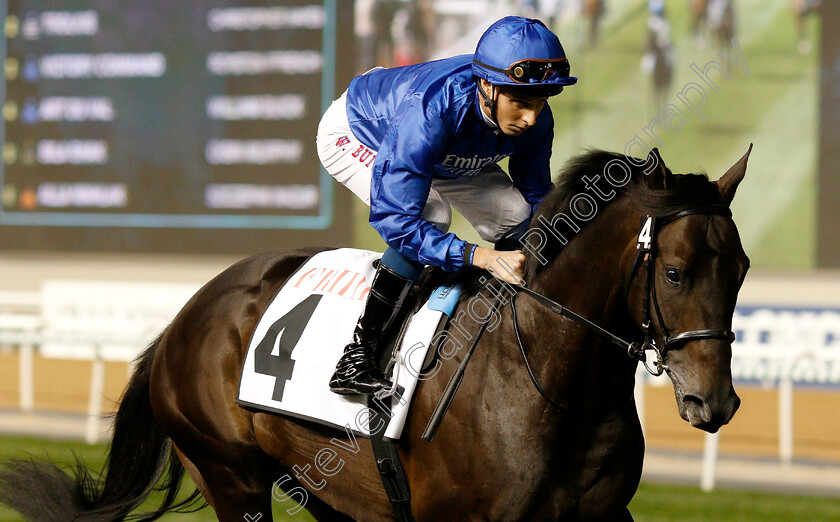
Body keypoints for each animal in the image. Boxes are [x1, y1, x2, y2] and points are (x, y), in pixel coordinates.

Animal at [0, 144, 752, 516]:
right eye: (676, 272)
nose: (714, 402)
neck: (553, 381)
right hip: (230, 473)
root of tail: (185, 317)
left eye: (742, 269)